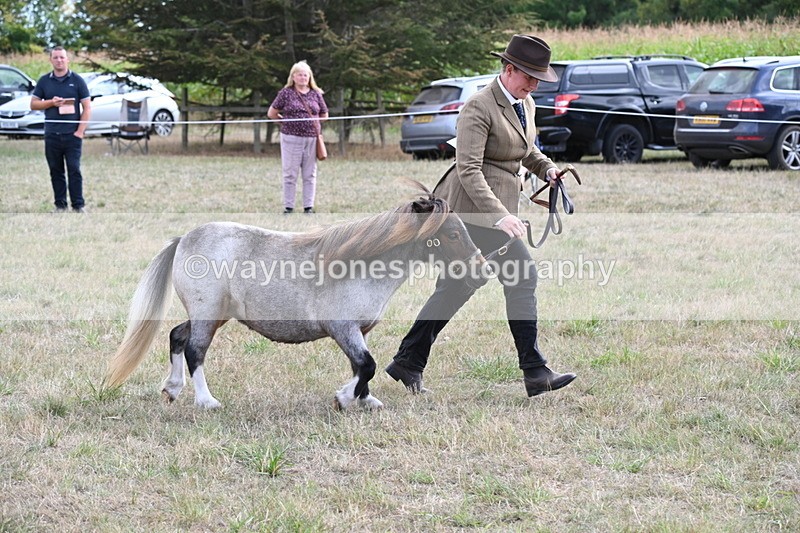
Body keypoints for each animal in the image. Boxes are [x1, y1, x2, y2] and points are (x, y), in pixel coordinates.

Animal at [104, 181, 487, 410]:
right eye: (453, 234)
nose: (481, 272)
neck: (360, 264)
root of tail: (184, 238)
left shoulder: (358, 331)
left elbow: (361, 367)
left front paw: (365, 401)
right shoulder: (343, 328)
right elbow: (367, 365)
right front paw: (345, 399)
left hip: (212, 315)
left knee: (177, 337)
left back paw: (172, 389)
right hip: (207, 313)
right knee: (195, 350)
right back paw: (206, 401)